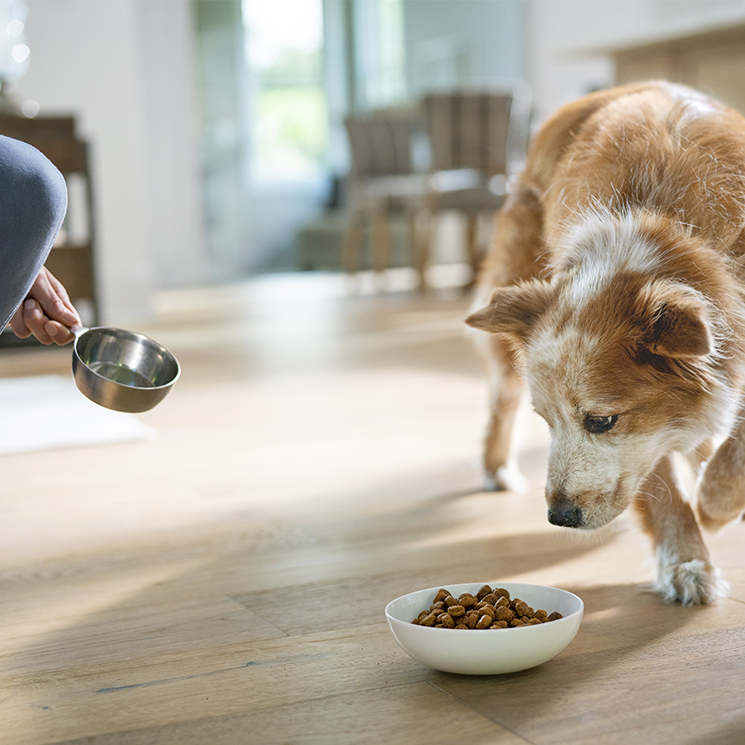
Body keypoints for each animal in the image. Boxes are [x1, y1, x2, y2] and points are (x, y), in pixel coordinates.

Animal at [468, 81, 744, 604]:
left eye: (601, 422)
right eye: (546, 419)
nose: (559, 517)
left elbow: (731, 453)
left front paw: (714, 505)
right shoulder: (651, 430)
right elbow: (660, 481)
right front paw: (687, 560)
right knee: (500, 400)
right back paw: (496, 469)